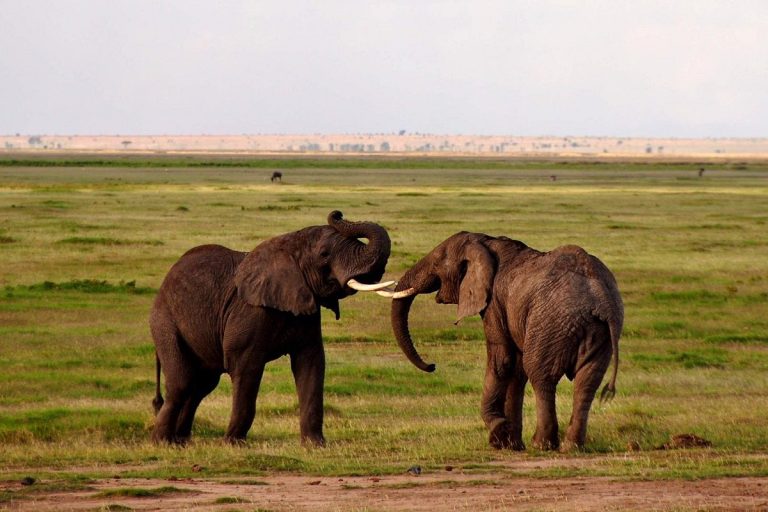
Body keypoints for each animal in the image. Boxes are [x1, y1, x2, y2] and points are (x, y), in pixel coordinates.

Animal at [150, 210, 395, 446]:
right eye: (324, 254)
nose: (338, 213)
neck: (289, 243)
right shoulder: (250, 311)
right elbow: (245, 367)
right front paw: (233, 444)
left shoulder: (306, 310)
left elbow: (311, 364)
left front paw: (315, 444)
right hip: (165, 323)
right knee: (182, 383)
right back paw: (163, 442)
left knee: (201, 385)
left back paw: (181, 441)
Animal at [390, 232, 623, 451]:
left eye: (437, 263)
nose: (432, 366)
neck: (486, 242)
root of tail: (601, 298)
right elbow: (516, 370)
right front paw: (511, 444)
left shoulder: (493, 304)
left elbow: (502, 361)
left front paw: (499, 432)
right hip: (599, 333)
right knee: (587, 383)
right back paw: (571, 447)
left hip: (551, 323)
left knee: (541, 375)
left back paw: (541, 445)